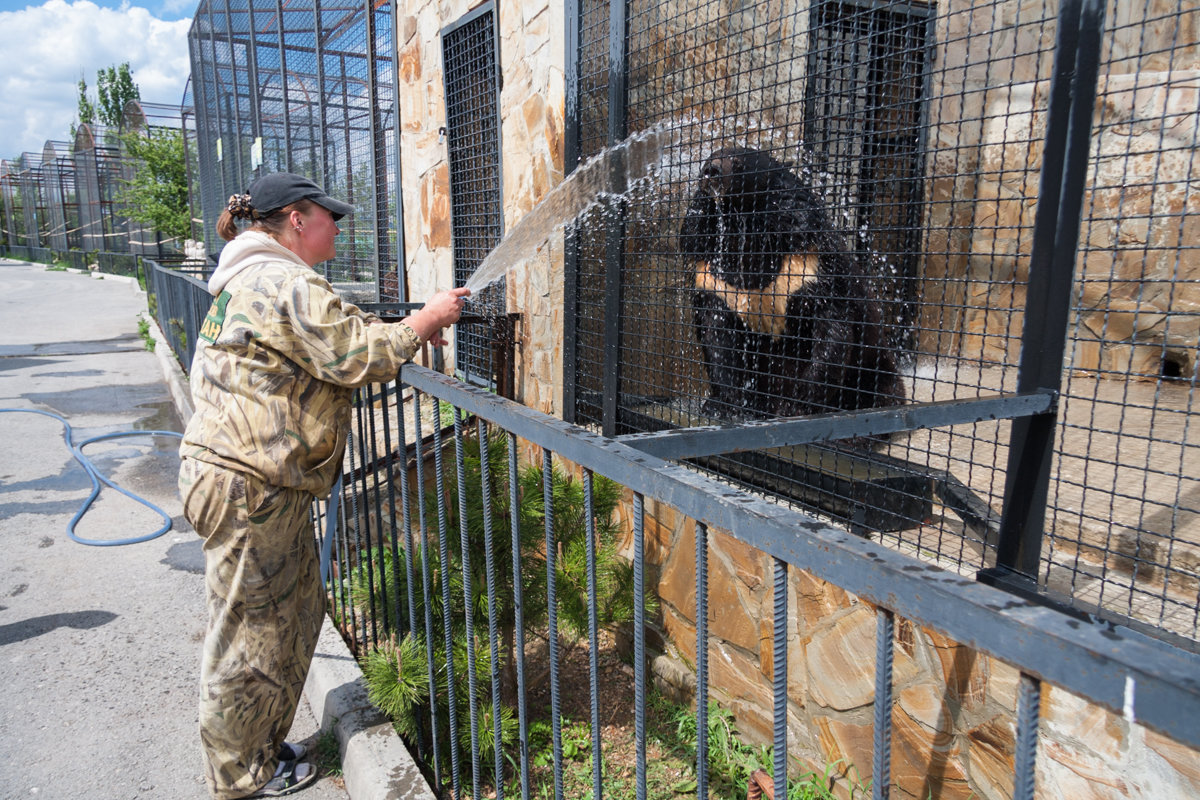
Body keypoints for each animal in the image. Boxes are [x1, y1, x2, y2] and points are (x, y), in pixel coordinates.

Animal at [681, 148, 902, 429]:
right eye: (708, 160)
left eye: (739, 162)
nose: (711, 171)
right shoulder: (715, 280)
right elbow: (717, 336)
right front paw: (724, 406)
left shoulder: (809, 267)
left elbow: (832, 333)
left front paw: (795, 407)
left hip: (876, 367)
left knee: (880, 393)